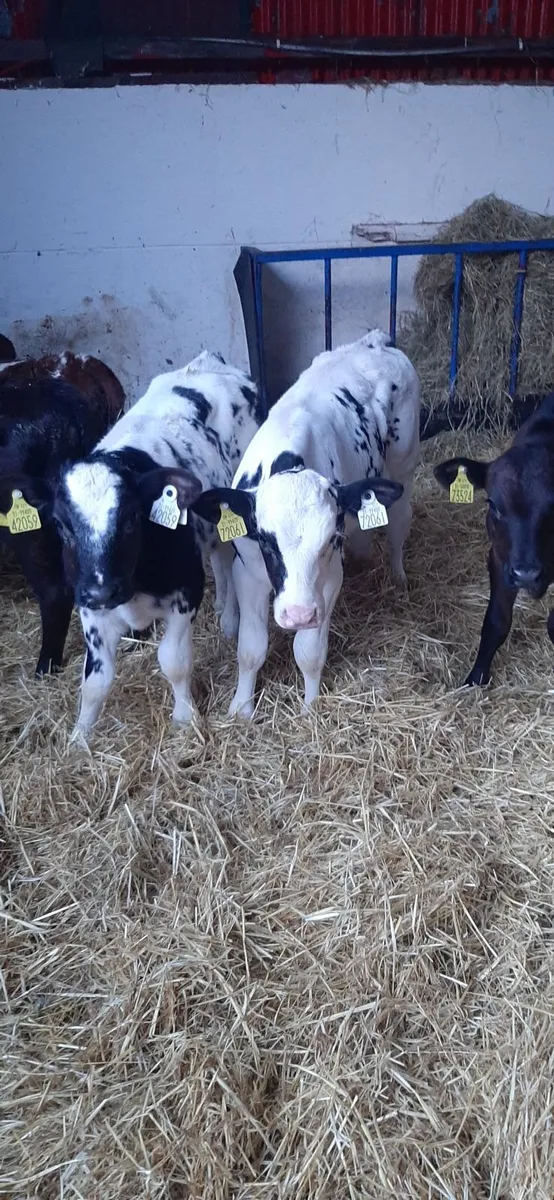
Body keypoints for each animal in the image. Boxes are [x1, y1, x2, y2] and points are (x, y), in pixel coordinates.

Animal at [27, 351, 261, 734]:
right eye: (62, 525)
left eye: (130, 519)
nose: (103, 591)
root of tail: (207, 360)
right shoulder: (89, 608)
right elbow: (95, 682)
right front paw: (80, 735)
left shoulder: (186, 593)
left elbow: (173, 660)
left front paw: (185, 717)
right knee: (218, 558)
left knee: (227, 558)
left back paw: (229, 619)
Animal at [193, 331, 420, 717]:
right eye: (265, 542)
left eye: (330, 539)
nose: (298, 615)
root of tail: (373, 341)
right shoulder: (248, 572)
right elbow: (250, 649)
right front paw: (241, 708)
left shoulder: (328, 582)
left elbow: (309, 652)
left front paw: (311, 707)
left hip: (403, 462)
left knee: (398, 524)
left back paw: (398, 575)